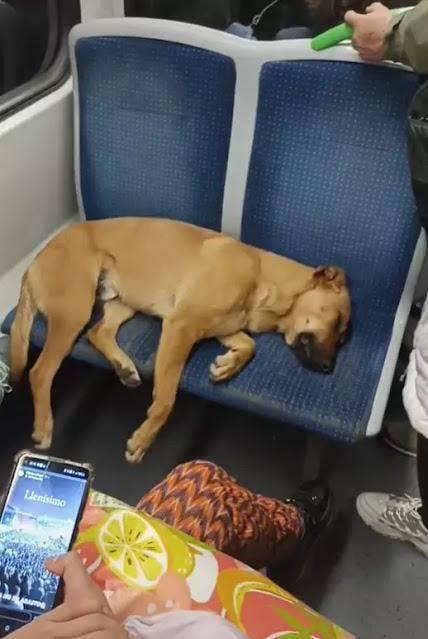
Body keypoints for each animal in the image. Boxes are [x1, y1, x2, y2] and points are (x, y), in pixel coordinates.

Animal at [9, 218, 352, 462]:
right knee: (40, 372)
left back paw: (124, 367)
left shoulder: (223, 327)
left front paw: (227, 366)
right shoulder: (181, 327)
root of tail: (34, 262)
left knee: (99, 332)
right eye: (337, 322)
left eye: (343, 338)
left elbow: (249, 345)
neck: (264, 279)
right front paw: (144, 439)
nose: (328, 368)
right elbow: (166, 400)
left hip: (123, 302)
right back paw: (44, 427)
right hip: (74, 312)